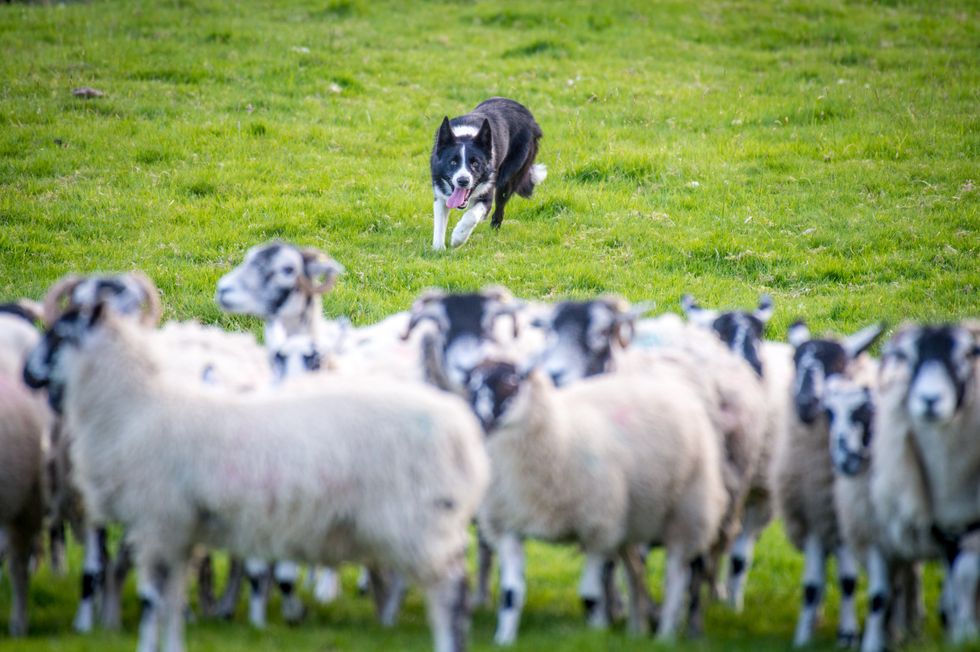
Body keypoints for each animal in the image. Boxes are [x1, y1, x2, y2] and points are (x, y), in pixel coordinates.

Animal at [24, 303, 490, 652]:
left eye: (60, 334)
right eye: (280, 357)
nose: (29, 374)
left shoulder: (178, 518)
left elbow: (166, 595)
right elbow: (172, 593)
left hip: (409, 515)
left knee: (445, 586)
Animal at [465, 359, 727, 644]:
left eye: (510, 383)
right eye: (469, 385)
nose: (477, 422)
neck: (558, 432)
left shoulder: (598, 528)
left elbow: (590, 595)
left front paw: (596, 633)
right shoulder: (508, 527)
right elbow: (511, 595)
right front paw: (503, 640)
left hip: (687, 511)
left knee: (676, 575)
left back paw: (665, 636)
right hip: (630, 523)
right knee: (636, 573)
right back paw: (636, 631)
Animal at [773, 320, 883, 647]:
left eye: (837, 365)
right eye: (795, 362)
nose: (806, 403)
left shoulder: (844, 517)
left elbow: (847, 580)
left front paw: (848, 634)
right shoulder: (813, 514)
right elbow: (812, 583)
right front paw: (803, 637)